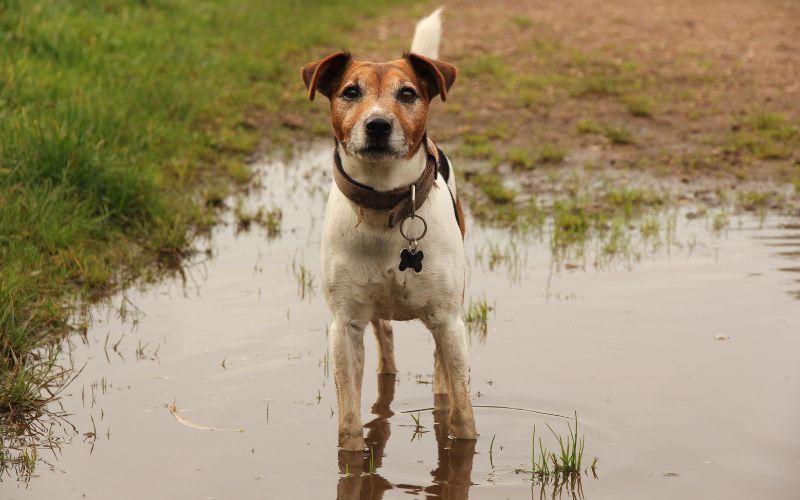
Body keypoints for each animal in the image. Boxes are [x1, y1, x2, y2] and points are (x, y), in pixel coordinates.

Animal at [300, 7, 476, 454]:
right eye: (350, 92)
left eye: (408, 94)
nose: (378, 125)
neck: (385, 206)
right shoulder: (345, 326)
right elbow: (349, 420)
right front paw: (354, 458)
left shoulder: (449, 320)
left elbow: (464, 414)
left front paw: (462, 455)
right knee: (386, 343)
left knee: (441, 372)